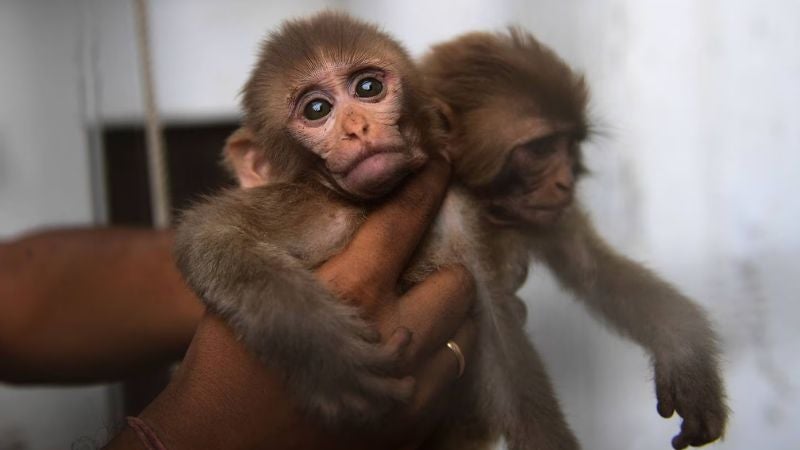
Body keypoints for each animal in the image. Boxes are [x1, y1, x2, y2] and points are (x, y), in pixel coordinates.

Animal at [419, 29, 728, 449]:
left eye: (570, 145)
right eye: (540, 148)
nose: (566, 182)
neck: (485, 205)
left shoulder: (546, 214)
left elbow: (593, 269)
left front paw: (688, 360)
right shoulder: (443, 209)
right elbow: (497, 340)